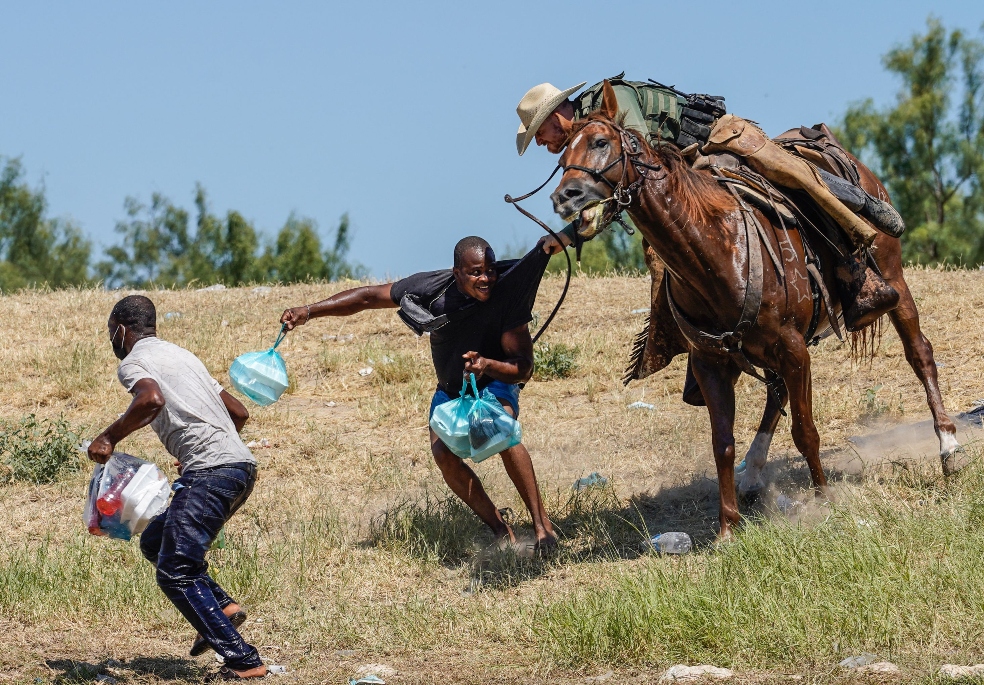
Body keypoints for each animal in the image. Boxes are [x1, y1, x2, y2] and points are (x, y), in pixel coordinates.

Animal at [550, 81, 960, 539]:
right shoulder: (712, 363)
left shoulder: (793, 349)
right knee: (775, 392)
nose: (564, 196)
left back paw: (948, 446)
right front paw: (728, 528)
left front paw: (824, 500)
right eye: (562, 158)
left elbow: (805, 431)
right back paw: (753, 474)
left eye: (601, 142)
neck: (717, 251)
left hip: (894, 281)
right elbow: (723, 443)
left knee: (919, 353)